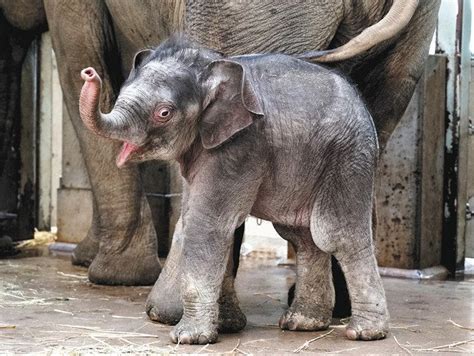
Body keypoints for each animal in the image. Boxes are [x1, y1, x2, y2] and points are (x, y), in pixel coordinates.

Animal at [78, 36, 388, 344]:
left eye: (164, 113)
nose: (89, 73)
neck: (209, 67)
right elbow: (204, 223)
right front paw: (225, 326)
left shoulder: (240, 146)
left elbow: (207, 225)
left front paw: (188, 338)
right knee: (303, 238)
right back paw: (303, 323)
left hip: (348, 156)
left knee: (337, 234)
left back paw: (365, 332)